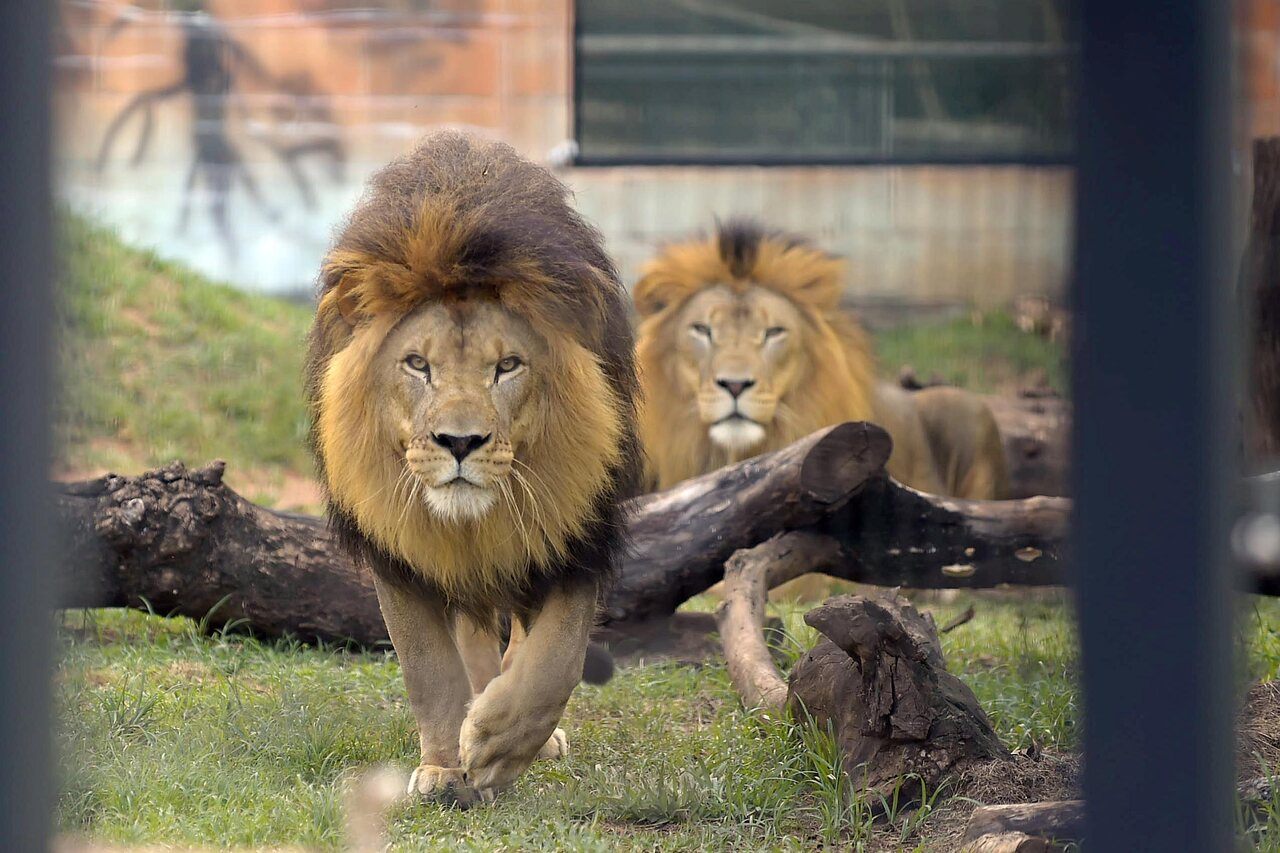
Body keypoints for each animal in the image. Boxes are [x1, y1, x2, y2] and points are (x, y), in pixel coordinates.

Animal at [305, 132, 641, 807]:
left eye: (507, 366)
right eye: (417, 364)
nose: (459, 442)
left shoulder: (578, 531)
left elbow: (556, 657)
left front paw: (496, 746)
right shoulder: (398, 551)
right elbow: (429, 666)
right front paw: (444, 767)